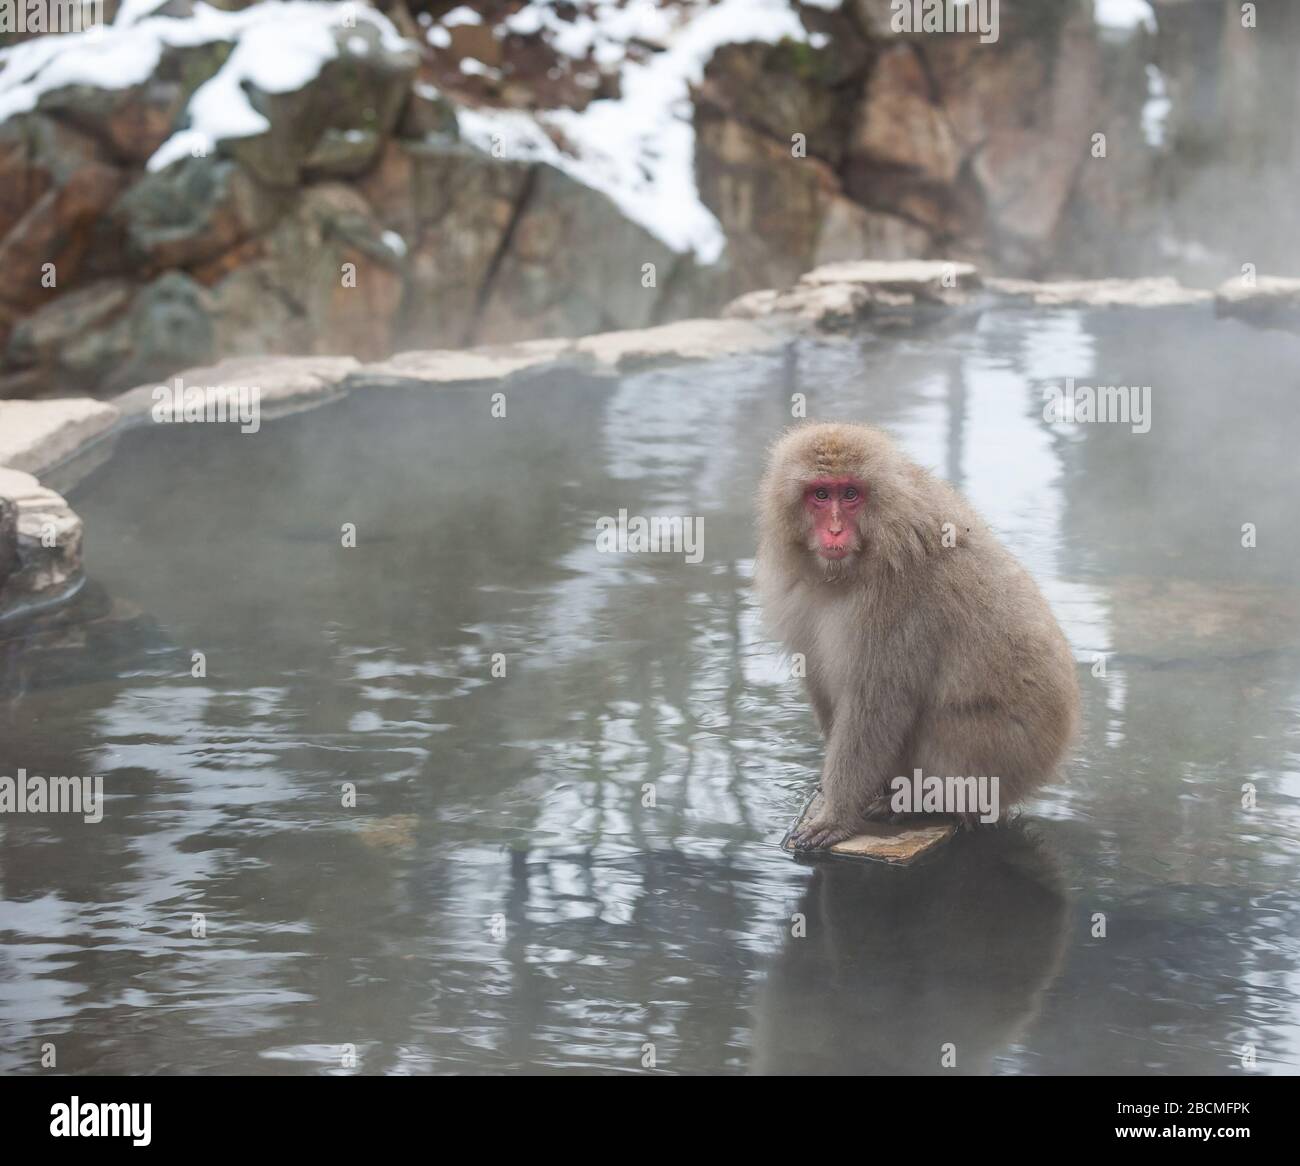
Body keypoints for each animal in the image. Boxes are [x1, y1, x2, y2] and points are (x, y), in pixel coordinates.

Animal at [754, 418, 1076, 847]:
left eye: (850, 494)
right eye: (820, 495)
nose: (835, 531)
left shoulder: (899, 600)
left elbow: (877, 704)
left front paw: (837, 813)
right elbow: (820, 678)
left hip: (1001, 754)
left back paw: (921, 801)